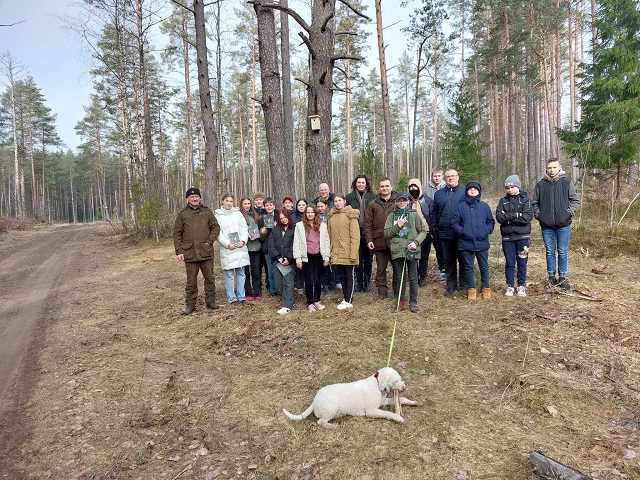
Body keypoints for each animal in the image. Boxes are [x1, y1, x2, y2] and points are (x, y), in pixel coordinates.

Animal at [282, 366, 418, 430]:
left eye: (400, 379)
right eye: (396, 381)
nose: (405, 387)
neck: (377, 383)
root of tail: (314, 400)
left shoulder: (383, 401)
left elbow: (402, 399)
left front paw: (412, 402)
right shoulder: (371, 411)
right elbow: (387, 413)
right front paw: (398, 418)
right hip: (332, 407)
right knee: (320, 422)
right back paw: (334, 427)